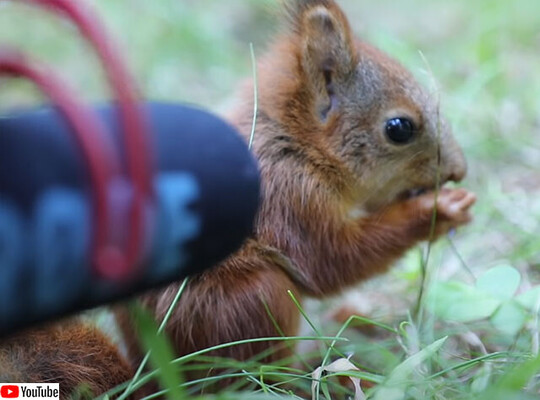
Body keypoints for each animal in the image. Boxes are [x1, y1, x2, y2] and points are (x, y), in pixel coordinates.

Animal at [0, 0, 474, 396]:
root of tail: (156, 379)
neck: (297, 145)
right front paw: (435, 210)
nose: (458, 170)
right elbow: (331, 260)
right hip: (254, 300)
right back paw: (311, 380)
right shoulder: (289, 199)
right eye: (399, 128)